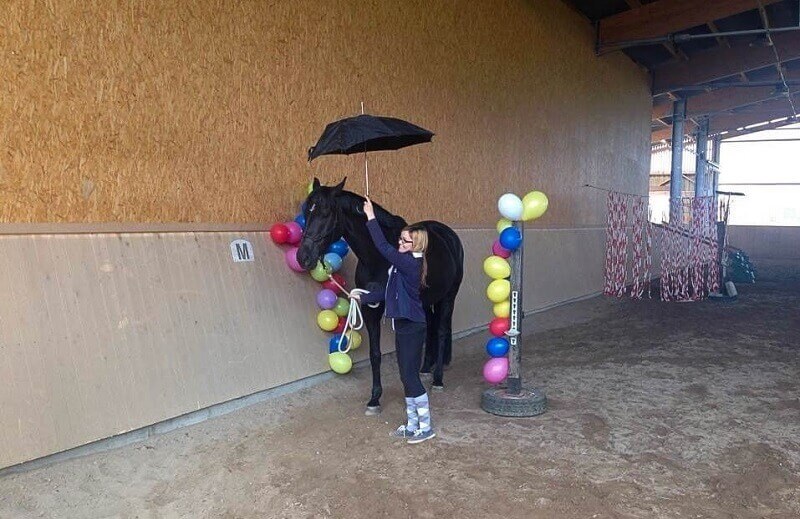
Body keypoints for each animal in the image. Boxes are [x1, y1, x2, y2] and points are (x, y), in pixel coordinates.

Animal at [298, 178, 462, 414]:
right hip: (426, 302)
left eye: (326, 212)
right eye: (306, 210)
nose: (303, 257)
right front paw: (374, 399)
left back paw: (438, 379)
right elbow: (375, 355)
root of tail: (449, 235)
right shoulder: (369, 309)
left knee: (440, 332)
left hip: (449, 297)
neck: (377, 258)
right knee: (430, 328)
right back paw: (424, 369)